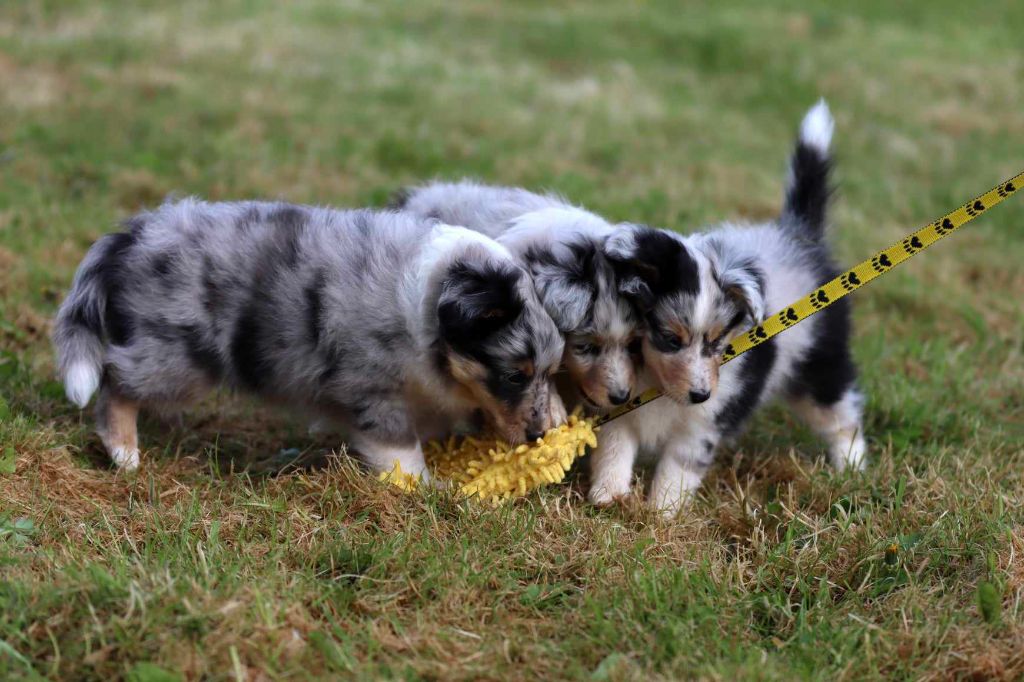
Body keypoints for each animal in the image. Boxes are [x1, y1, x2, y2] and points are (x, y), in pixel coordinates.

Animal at [54, 196, 569, 473]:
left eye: (549, 373)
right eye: (515, 374)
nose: (539, 436)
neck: (425, 305)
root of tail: (136, 233)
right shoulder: (372, 389)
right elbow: (402, 452)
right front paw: (425, 492)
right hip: (177, 355)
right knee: (115, 377)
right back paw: (125, 452)